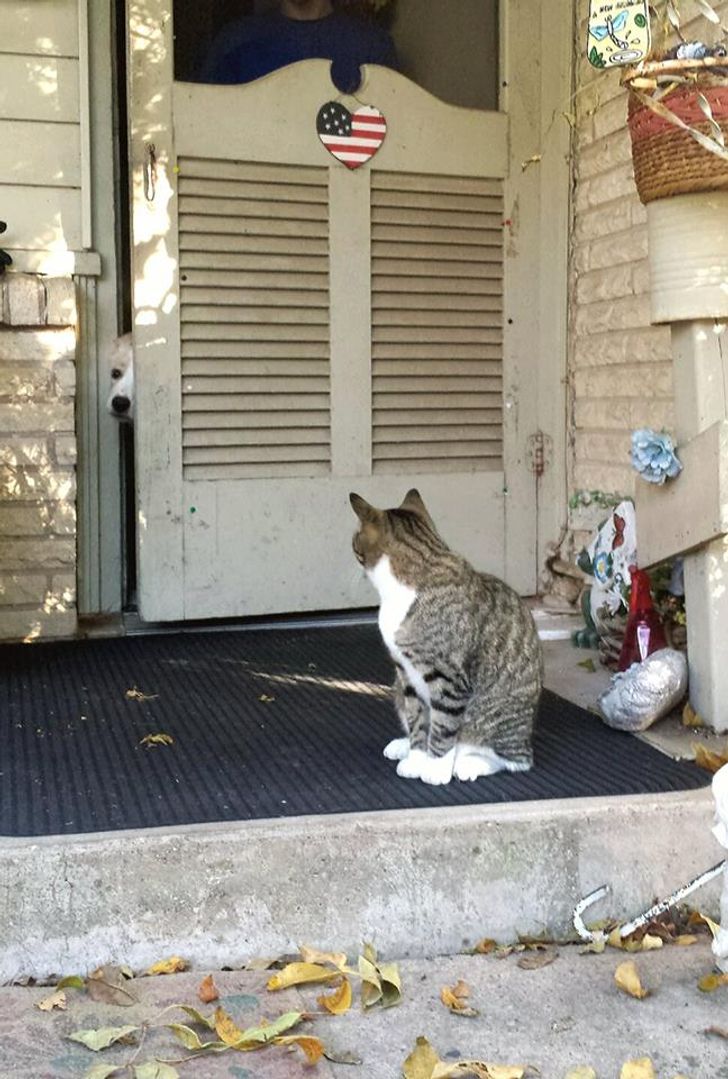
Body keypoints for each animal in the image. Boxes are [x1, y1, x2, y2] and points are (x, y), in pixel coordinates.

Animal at [349, 489, 543, 785]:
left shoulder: (449, 678)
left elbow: (443, 728)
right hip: (397, 688)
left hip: (495, 724)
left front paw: (436, 768)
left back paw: (469, 763)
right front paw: (416, 757)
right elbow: (418, 720)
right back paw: (404, 746)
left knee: (513, 760)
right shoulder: (405, 674)